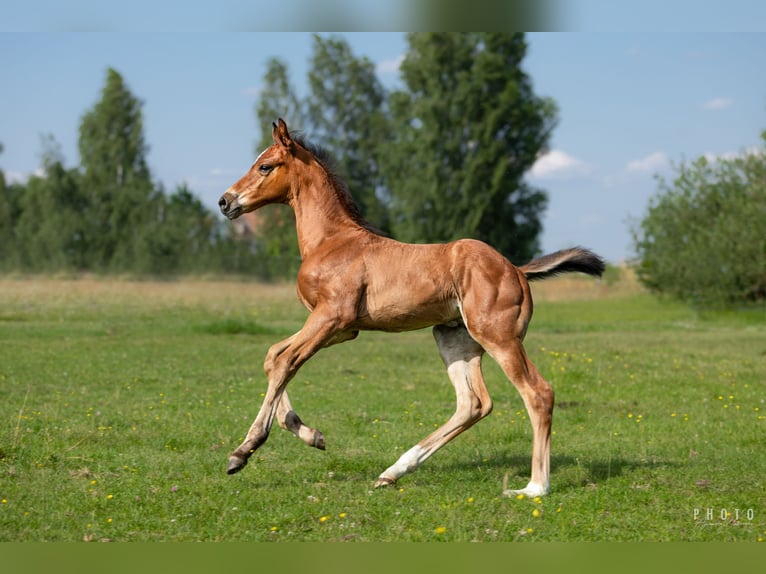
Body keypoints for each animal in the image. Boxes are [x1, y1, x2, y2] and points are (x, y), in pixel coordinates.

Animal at [218, 119, 608, 498]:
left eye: (265, 166)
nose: (225, 201)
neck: (332, 240)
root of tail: (515, 268)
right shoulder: (343, 328)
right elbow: (273, 356)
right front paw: (310, 435)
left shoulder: (332, 317)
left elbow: (285, 362)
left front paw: (243, 451)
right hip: (454, 338)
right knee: (473, 403)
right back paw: (392, 472)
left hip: (498, 336)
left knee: (538, 393)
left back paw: (534, 487)